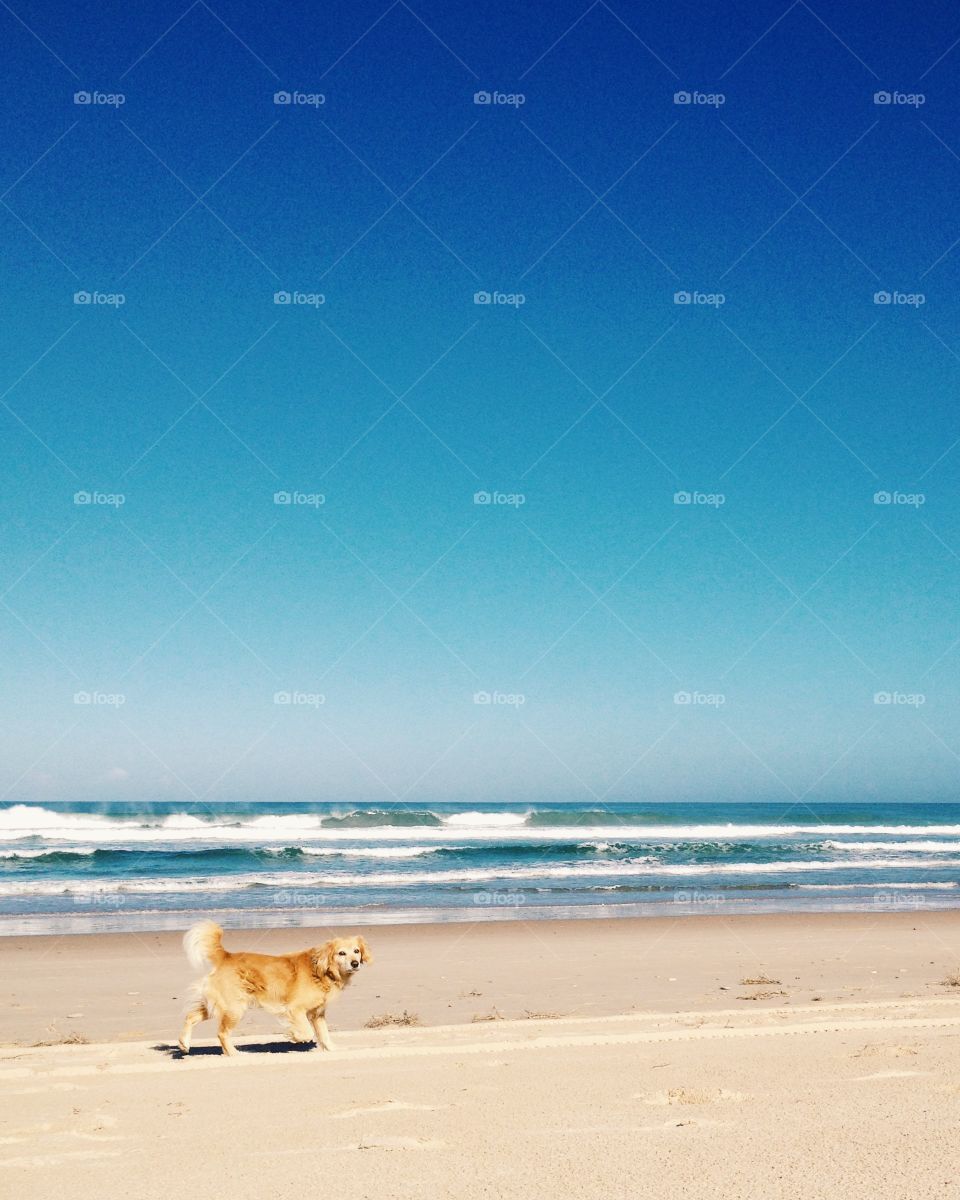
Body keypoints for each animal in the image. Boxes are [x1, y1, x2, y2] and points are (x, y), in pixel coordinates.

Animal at [177, 921, 372, 1056]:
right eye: (341, 953)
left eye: (356, 951)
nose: (355, 963)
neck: (321, 971)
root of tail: (226, 956)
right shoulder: (295, 1008)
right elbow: (307, 1031)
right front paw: (294, 1036)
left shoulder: (318, 1014)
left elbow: (324, 1034)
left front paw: (333, 1049)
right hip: (235, 1008)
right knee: (222, 1033)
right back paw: (233, 1053)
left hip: (219, 1005)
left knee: (190, 1016)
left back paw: (184, 1043)